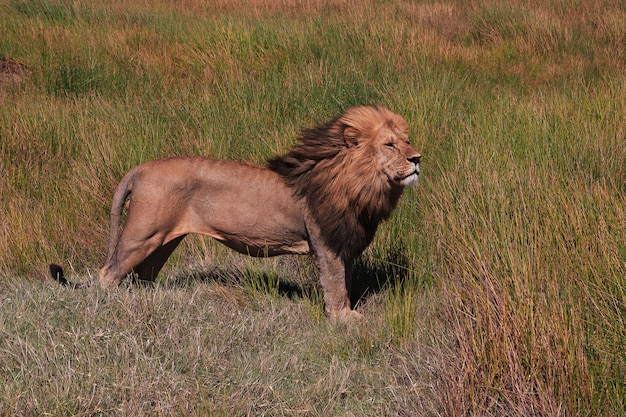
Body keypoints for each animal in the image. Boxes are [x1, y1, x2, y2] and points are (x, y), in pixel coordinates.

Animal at [48, 105, 420, 320]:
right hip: (142, 235)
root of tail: (141, 168)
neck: (361, 184)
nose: (417, 158)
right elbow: (335, 284)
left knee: (143, 275)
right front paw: (345, 320)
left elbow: (346, 280)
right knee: (107, 274)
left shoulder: (345, 244)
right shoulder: (325, 242)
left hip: (164, 241)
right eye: (389, 144)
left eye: (407, 140)